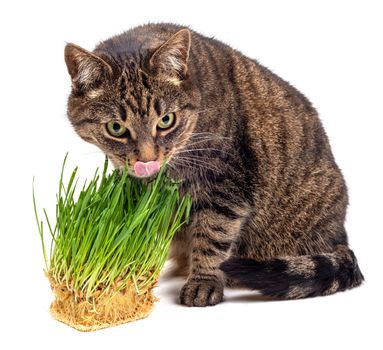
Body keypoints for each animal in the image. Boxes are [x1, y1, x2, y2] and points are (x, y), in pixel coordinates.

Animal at [64, 22, 364, 306]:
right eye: (116, 128)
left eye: (166, 121)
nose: (147, 159)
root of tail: (341, 236)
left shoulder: (225, 187)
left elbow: (211, 238)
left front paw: (203, 281)